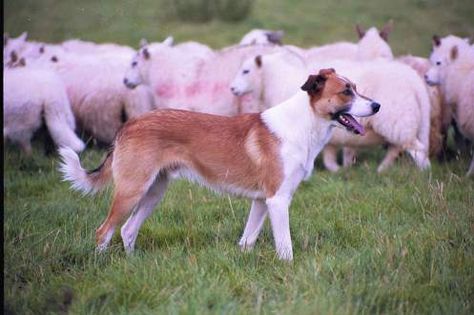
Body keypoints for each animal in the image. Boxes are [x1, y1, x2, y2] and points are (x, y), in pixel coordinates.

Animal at [58, 69, 382, 262]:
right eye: (346, 91)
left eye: (356, 88)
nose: (377, 105)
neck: (302, 125)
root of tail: (129, 124)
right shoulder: (278, 201)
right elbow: (285, 246)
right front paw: (289, 270)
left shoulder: (262, 202)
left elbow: (247, 240)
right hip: (131, 191)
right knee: (104, 231)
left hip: (153, 192)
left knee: (127, 230)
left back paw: (132, 264)